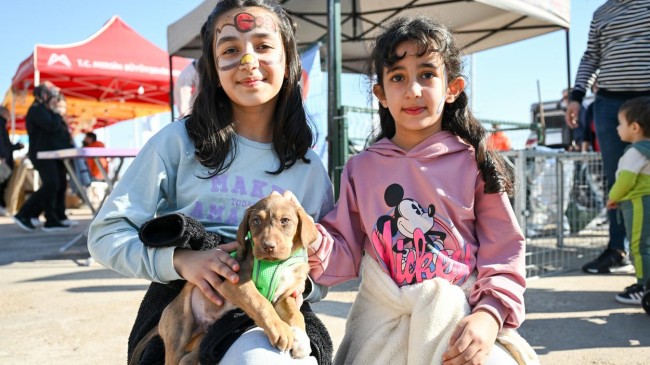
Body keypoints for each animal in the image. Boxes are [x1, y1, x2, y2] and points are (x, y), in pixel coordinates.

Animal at [130, 195, 318, 364]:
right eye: (256, 221)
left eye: (285, 220)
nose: (268, 247)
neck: (275, 264)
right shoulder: (235, 282)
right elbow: (260, 303)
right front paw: (280, 330)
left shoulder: (284, 296)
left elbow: (295, 313)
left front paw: (301, 341)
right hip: (179, 331)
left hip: (203, 339)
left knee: (188, 359)